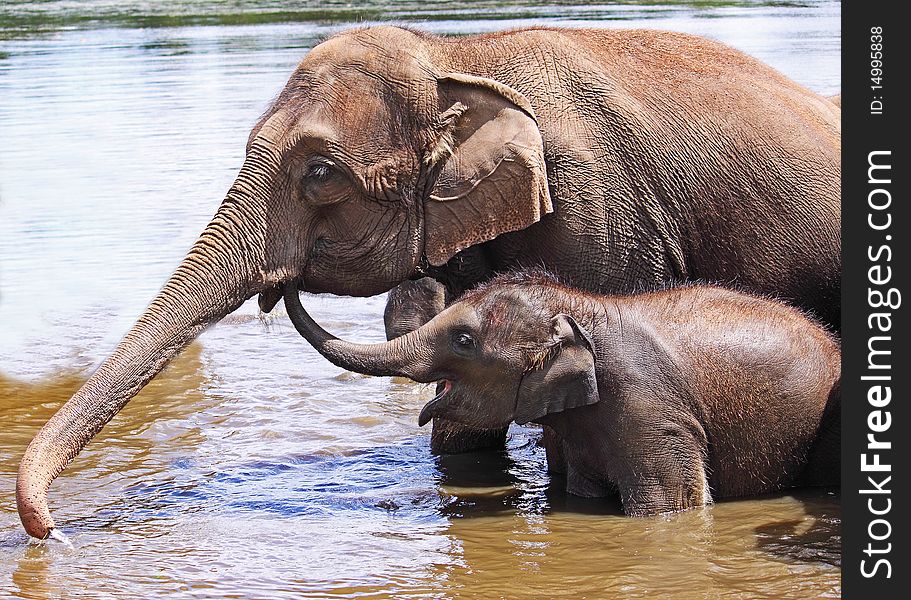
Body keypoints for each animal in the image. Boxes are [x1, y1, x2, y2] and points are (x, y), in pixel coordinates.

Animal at [284, 274, 840, 512]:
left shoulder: (649, 411)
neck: (582, 306)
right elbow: (584, 492)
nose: (283, 283)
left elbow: (669, 505)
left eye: (463, 340)